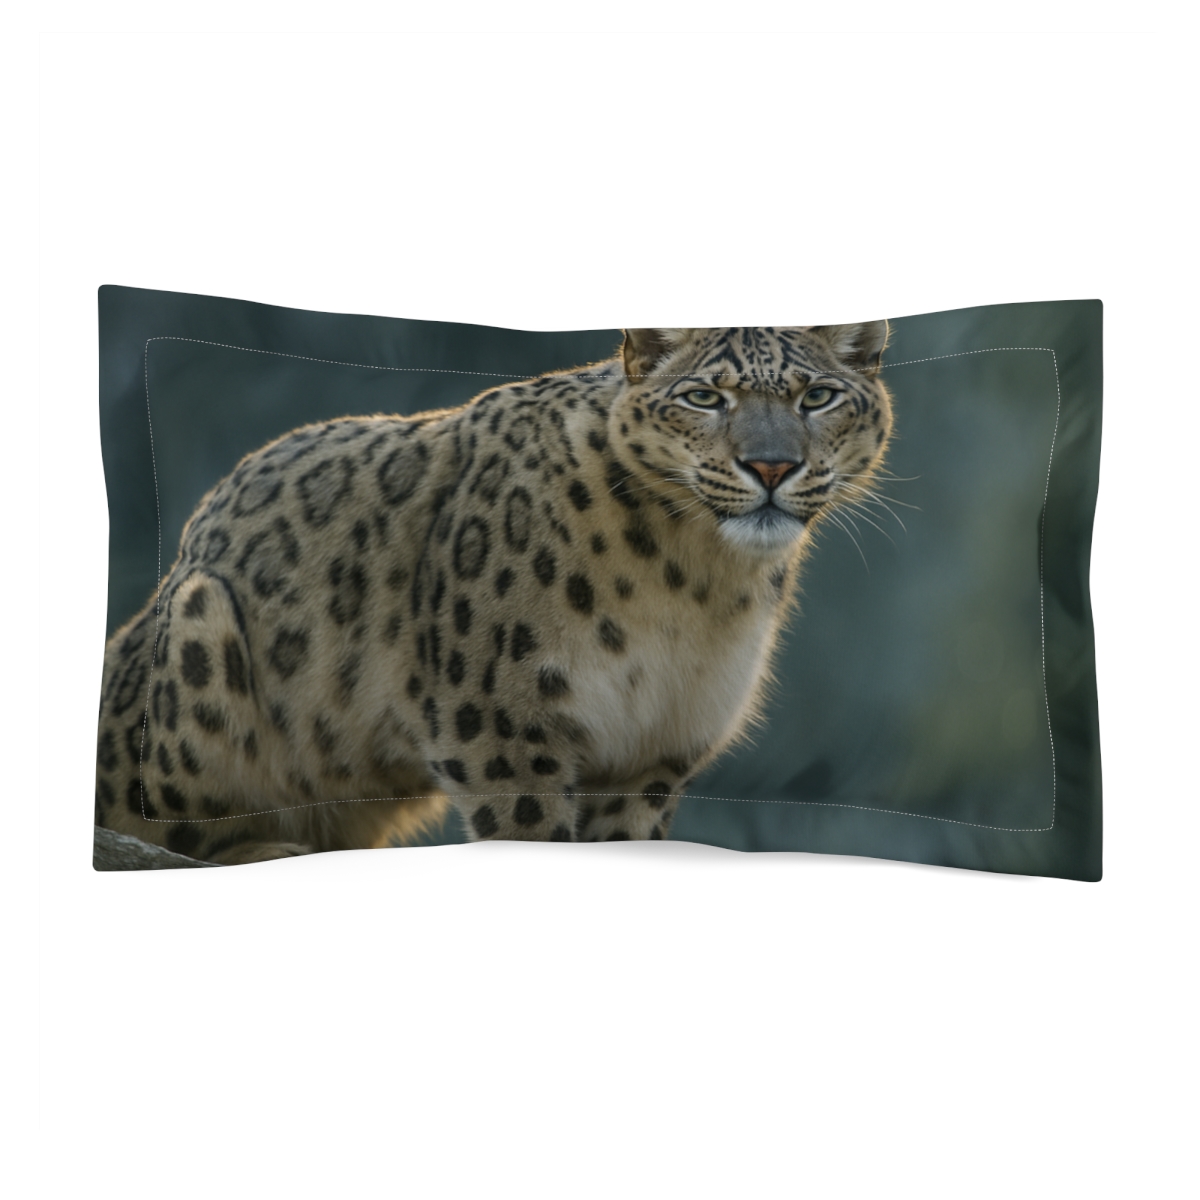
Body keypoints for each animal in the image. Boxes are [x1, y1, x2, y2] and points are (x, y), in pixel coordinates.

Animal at [94, 324, 894, 864]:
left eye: (819, 396)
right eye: (703, 396)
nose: (772, 465)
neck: (693, 585)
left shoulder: (654, 751)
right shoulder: (503, 724)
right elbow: (529, 829)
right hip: (197, 635)